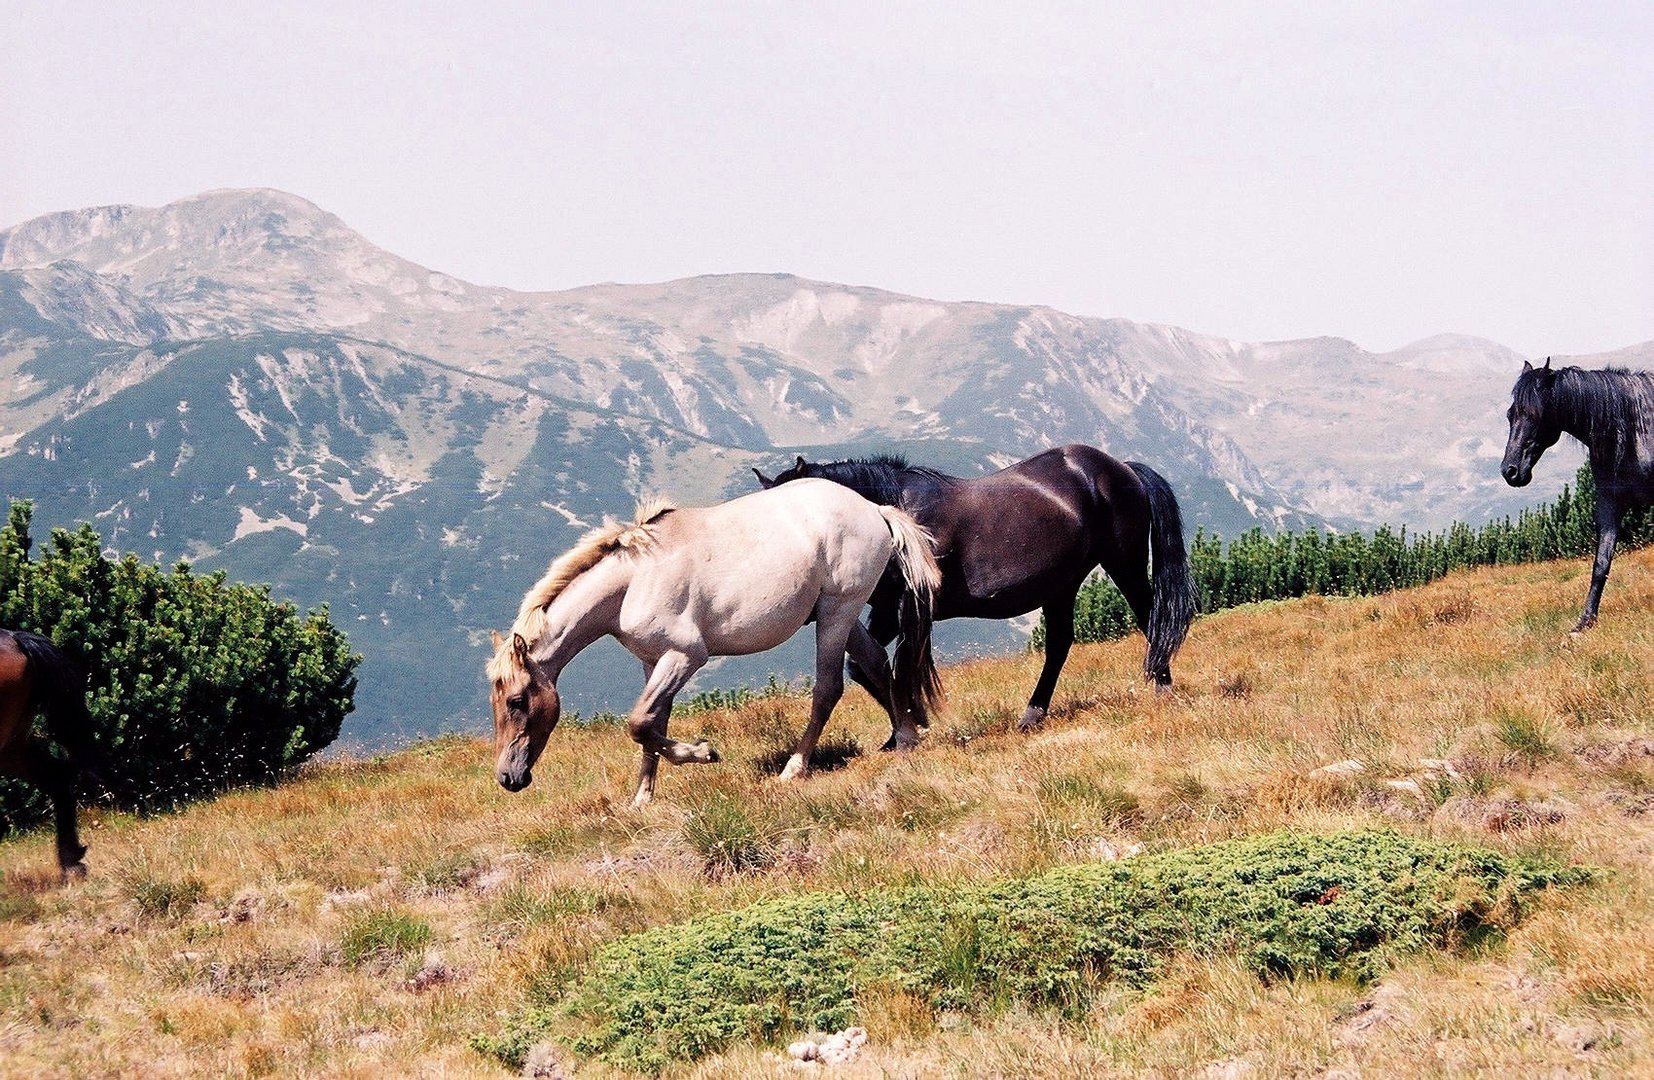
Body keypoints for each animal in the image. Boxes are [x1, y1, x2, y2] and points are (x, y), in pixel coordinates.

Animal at [482, 476, 939, 803]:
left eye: (517, 701)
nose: (507, 777)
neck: (634, 580)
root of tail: (874, 509)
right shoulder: (653, 662)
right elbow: (653, 723)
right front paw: (642, 799)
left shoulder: (686, 657)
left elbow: (639, 722)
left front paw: (702, 753)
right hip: (840, 617)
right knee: (877, 662)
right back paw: (906, 739)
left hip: (835, 614)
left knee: (829, 687)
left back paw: (795, 768)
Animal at [757, 439, 1197, 740]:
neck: (893, 515)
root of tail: (1121, 468)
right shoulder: (885, 609)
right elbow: (866, 667)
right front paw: (906, 728)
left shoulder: (908, 610)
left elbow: (900, 667)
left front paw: (911, 724)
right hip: (1061, 586)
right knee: (1059, 645)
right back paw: (1032, 714)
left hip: (1123, 564)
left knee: (1150, 617)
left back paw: (1162, 688)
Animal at [1501, 360, 1654, 631]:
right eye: (1511, 415)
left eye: (1535, 414)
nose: (1510, 471)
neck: (1636, 430)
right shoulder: (1609, 505)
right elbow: (1601, 564)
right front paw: (1584, 622)